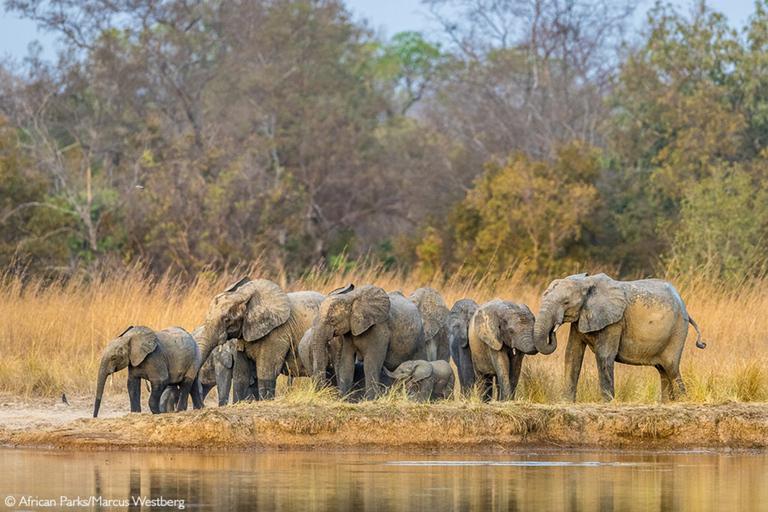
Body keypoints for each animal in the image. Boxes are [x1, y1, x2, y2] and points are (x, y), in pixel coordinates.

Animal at [536, 274, 704, 402]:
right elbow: (572, 354)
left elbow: (604, 356)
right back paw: (666, 403)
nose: (552, 330)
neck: (584, 282)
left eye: (565, 302)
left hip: (678, 330)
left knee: (671, 367)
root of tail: (685, 310)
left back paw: (682, 401)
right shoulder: (580, 320)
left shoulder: (614, 322)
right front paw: (566, 402)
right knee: (662, 370)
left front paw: (608, 402)